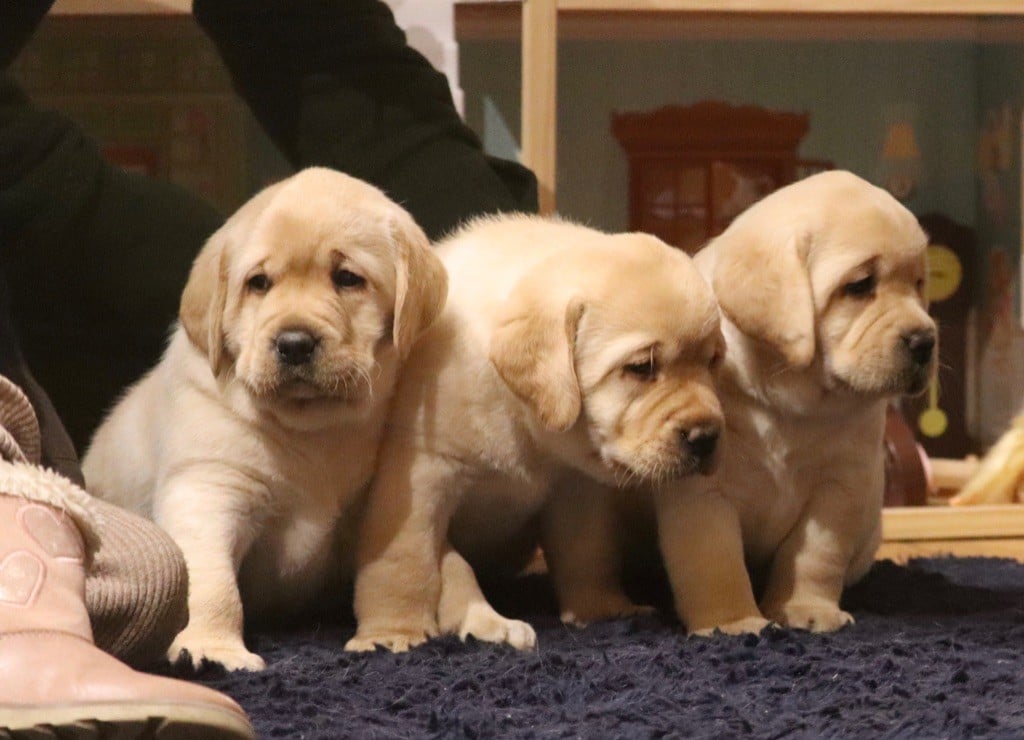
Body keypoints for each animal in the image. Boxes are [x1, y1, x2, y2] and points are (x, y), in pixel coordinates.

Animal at [80, 167, 444, 671]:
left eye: (347, 278)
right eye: (259, 283)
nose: (294, 343)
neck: (313, 429)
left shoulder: (384, 497)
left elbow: (396, 565)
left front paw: (393, 632)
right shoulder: (209, 489)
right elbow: (210, 581)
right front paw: (210, 648)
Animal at [348, 213, 724, 655]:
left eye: (713, 361)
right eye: (642, 367)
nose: (707, 438)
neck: (527, 428)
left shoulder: (575, 488)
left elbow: (587, 550)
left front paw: (602, 608)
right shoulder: (421, 476)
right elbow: (413, 562)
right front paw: (394, 632)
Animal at [655, 168, 937, 638]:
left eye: (919, 285)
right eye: (860, 285)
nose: (925, 341)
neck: (790, 405)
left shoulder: (840, 486)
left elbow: (814, 557)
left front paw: (806, 609)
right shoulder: (701, 489)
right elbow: (715, 562)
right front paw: (732, 623)